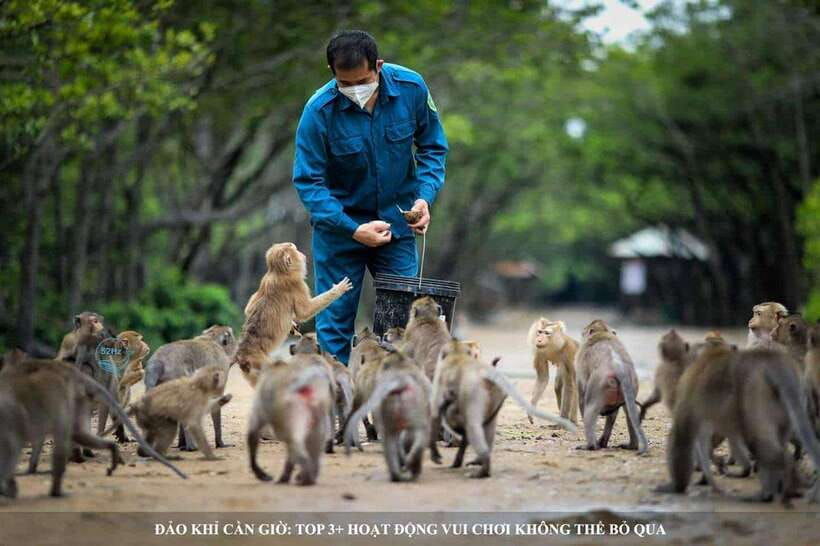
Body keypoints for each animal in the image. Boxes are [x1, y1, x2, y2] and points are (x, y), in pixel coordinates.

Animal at [234, 242, 352, 387]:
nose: (302, 254)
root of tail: (242, 354)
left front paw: (292, 325)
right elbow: (305, 311)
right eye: (295, 250)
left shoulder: (264, 280)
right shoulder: (297, 284)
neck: (278, 273)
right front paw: (338, 289)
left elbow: (248, 309)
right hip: (260, 363)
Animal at [247, 357, 333, 486]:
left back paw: (305, 474)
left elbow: (254, 430)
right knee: (316, 436)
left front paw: (259, 473)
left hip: (292, 407)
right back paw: (310, 474)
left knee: (292, 440)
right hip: (318, 405)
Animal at [429, 340, 575, 478]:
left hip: (475, 394)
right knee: (486, 425)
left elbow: (436, 412)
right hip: (496, 395)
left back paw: (483, 467)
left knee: (471, 425)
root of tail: (488, 378)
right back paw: (480, 460)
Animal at [574, 320, 647, 454]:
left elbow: (582, 399)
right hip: (631, 384)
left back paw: (590, 446)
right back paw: (632, 445)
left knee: (590, 409)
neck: (602, 333)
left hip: (599, 385)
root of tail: (620, 369)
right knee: (630, 411)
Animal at [656, 341, 820, 505]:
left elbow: (683, 432)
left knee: (757, 441)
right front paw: (708, 475)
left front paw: (677, 486)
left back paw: (774, 486)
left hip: (754, 393)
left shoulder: (690, 388)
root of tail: (772, 361)